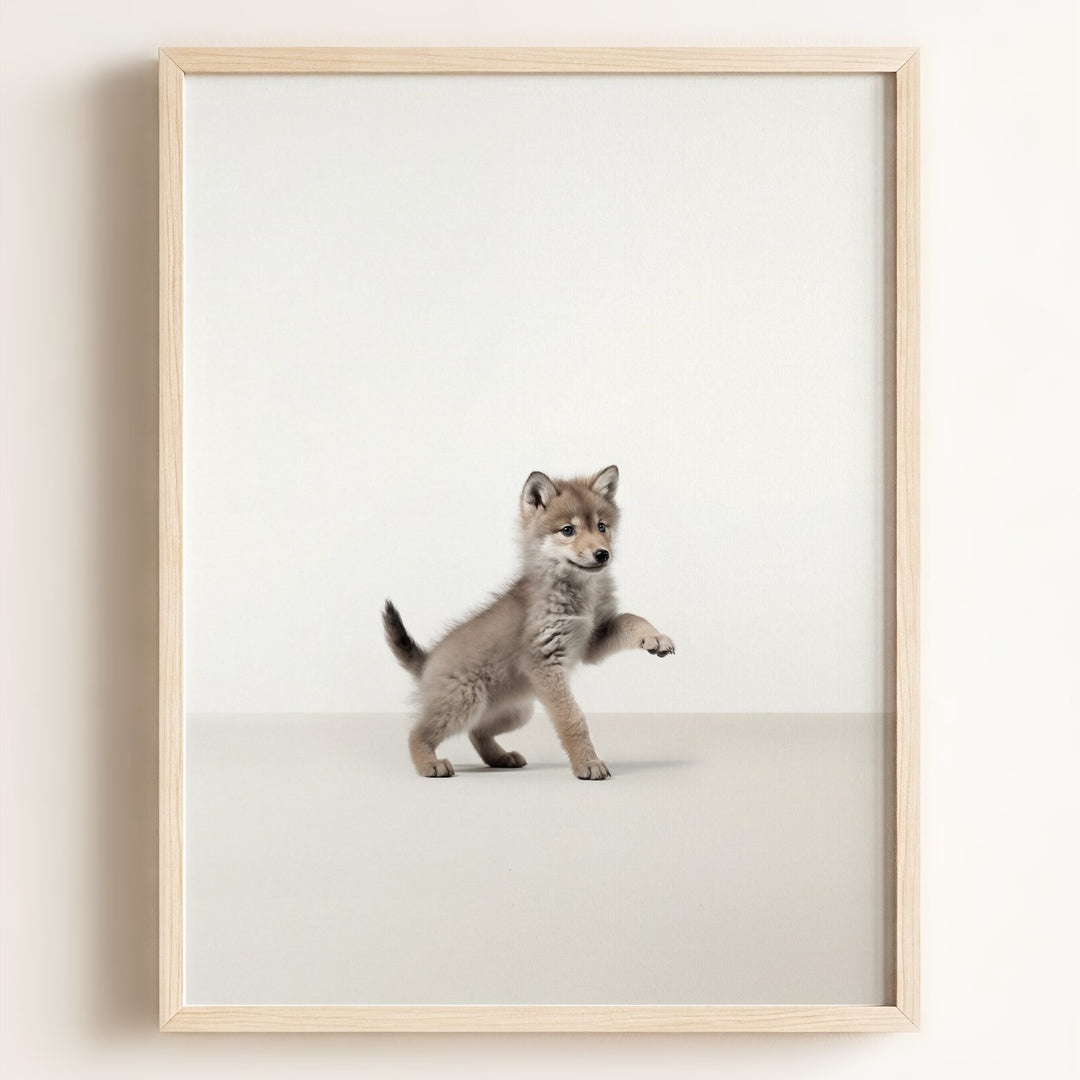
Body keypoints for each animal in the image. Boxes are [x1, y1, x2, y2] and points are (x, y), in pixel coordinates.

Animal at [382, 465, 674, 780]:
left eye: (601, 526)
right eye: (568, 530)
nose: (602, 554)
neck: (579, 592)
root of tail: (427, 661)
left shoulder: (593, 639)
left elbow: (632, 618)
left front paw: (655, 637)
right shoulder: (545, 661)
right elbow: (573, 718)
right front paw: (587, 762)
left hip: (515, 712)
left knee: (476, 732)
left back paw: (500, 757)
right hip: (464, 703)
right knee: (417, 733)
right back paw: (429, 764)